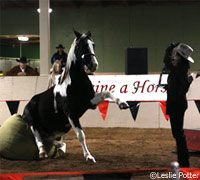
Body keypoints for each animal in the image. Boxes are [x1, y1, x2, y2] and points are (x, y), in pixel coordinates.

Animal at [21, 29, 128, 163]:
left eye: (93, 44)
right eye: (81, 46)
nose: (93, 65)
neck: (74, 83)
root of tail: (29, 102)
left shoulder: (89, 102)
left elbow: (107, 92)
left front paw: (123, 103)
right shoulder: (70, 113)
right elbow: (81, 135)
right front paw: (89, 157)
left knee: (54, 141)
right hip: (31, 119)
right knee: (36, 134)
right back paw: (42, 152)